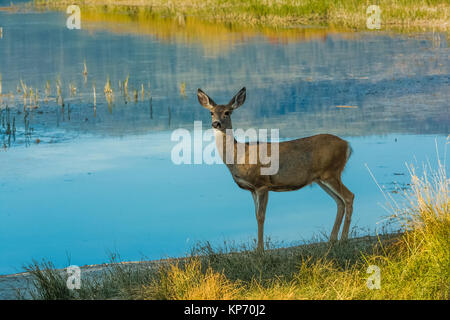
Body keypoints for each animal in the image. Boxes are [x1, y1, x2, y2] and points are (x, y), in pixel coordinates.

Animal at [197, 87, 356, 252]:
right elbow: (255, 215)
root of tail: (347, 145)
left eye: (227, 112)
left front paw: (260, 249)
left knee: (349, 197)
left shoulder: (262, 184)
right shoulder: (252, 189)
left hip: (331, 172)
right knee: (339, 202)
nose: (216, 123)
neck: (239, 155)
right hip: (322, 178)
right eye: (211, 112)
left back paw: (344, 238)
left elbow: (261, 216)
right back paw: (332, 239)